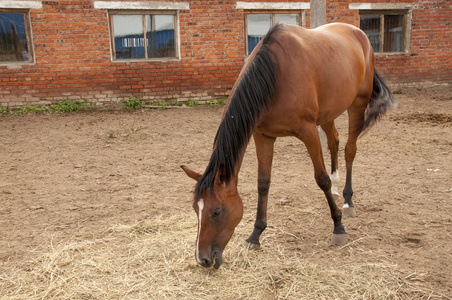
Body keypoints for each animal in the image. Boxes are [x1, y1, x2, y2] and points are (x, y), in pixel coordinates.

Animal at [180, 22, 396, 268]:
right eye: (195, 208)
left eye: (216, 212)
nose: (203, 259)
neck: (275, 77)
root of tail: (358, 33)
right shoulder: (263, 136)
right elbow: (263, 183)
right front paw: (255, 235)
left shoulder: (309, 132)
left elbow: (320, 179)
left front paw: (338, 227)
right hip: (328, 112)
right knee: (334, 140)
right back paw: (336, 184)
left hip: (357, 104)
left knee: (350, 150)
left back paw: (348, 201)